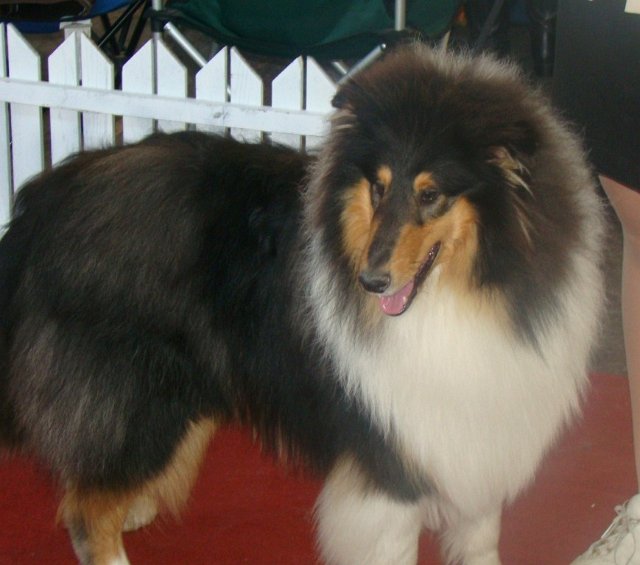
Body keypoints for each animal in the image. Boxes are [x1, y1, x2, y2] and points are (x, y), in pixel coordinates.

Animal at [0, 45, 605, 564]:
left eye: (431, 194)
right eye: (378, 186)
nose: (370, 282)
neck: (465, 297)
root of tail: (45, 198)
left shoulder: (478, 444)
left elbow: (481, 539)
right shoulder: (389, 459)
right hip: (140, 390)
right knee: (86, 510)